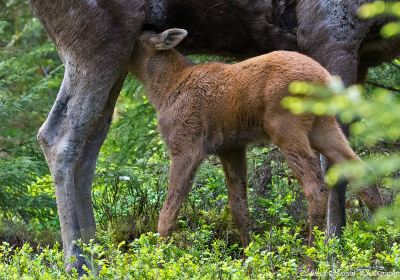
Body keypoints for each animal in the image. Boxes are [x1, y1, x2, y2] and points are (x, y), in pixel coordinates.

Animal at [130, 28, 382, 247]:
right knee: (361, 171)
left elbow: (169, 210)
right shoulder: (231, 147)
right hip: (324, 126)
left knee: (316, 187)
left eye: (139, 39)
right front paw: (247, 257)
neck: (163, 90)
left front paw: (159, 255)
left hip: (286, 126)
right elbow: (239, 207)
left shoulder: (186, 144)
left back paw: (312, 259)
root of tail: (325, 81)